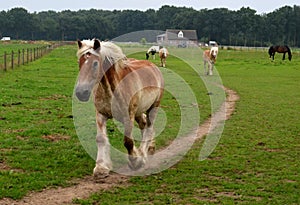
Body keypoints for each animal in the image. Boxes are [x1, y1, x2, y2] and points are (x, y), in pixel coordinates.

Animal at [75, 39, 164, 179]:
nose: (81, 92)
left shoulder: (128, 116)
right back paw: (150, 148)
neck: (111, 90)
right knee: (144, 124)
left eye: (95, 63)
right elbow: (100, 139)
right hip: (139, 112)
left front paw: (135, 161)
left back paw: (143, 156)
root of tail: (153, 66)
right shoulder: (101, 114)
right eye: (79, 62)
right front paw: (101, 168)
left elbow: (128, 142)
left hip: (153, 107)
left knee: (149, 128)